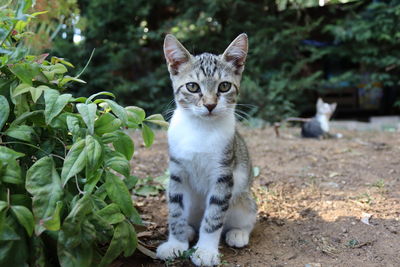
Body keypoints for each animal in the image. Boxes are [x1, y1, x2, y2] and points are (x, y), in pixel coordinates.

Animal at [156, 34, 256, 266]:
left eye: (224, 86)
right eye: (192, 87)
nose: (210, 105)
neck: (201, 129)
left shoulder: (223, 174)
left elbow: (214, 215)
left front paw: (206, 251)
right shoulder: (177, 172)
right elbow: (176, 210)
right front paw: (176, 244)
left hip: (244, 198)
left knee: (246, 217)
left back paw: (238, 232)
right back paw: (189, 231)